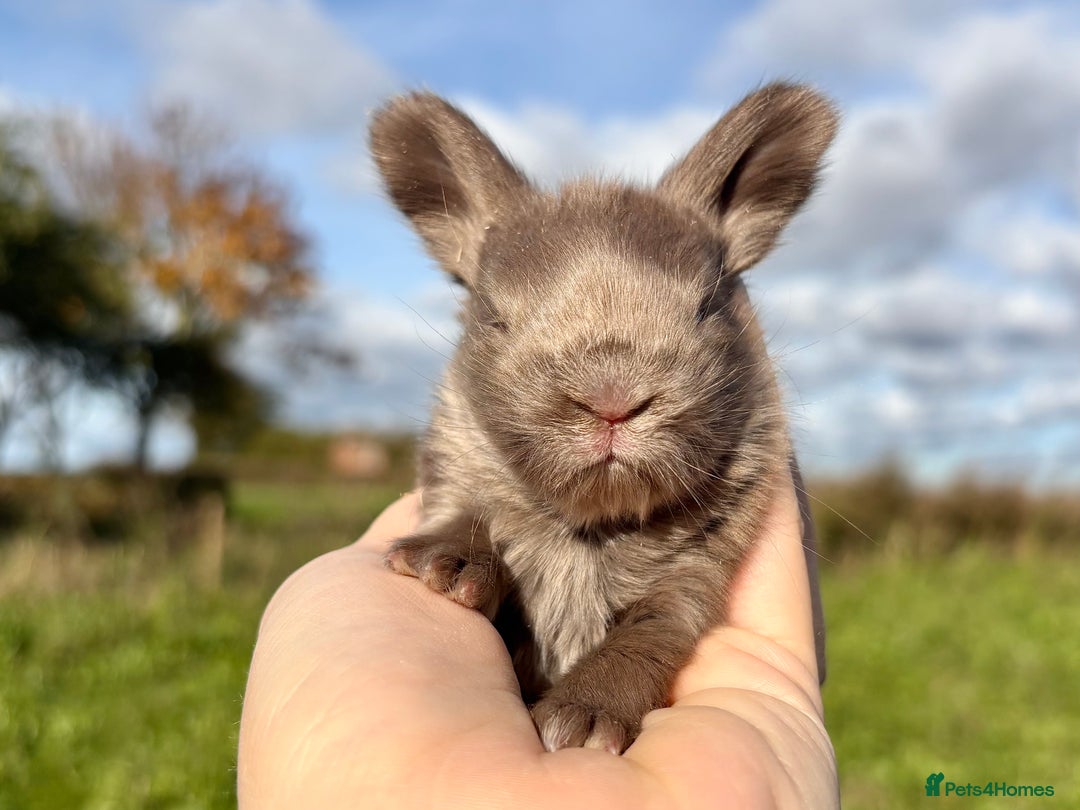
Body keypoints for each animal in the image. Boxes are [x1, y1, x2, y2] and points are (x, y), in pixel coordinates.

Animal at [369, 82, 837, 754]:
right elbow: (470, 523)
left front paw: (585, 716)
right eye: (495, 317)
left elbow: (646, 635)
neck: (588, 528)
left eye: (709, 308)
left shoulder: (691, 581)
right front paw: (444, 563)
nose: (612, 398)